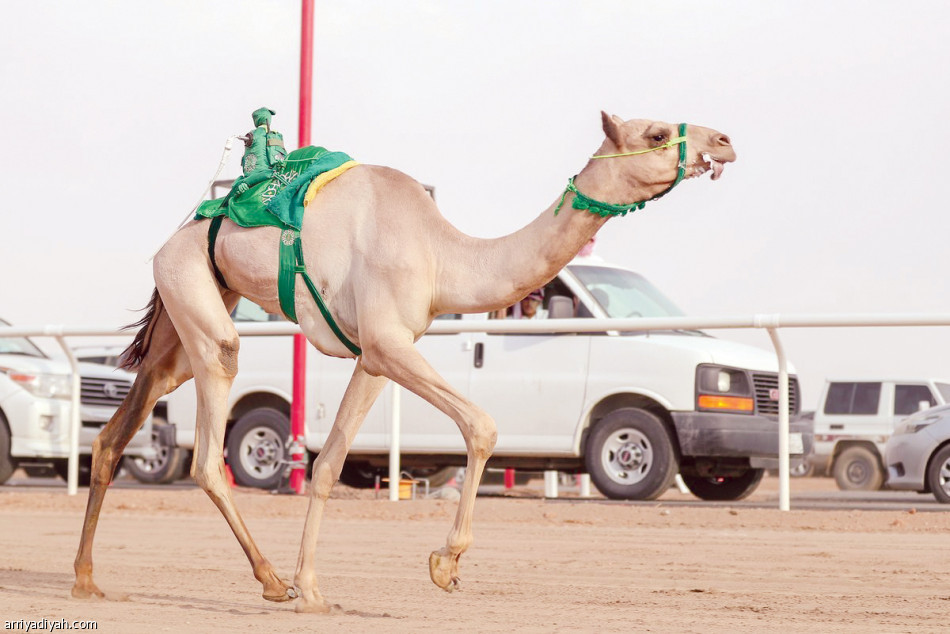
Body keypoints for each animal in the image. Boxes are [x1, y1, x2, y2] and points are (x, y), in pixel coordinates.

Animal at [72, 111, 736, 608]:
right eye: (656, 132)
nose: (724, 141)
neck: (444, 256)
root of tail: (183, 232)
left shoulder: (374, 357)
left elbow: (328, 464)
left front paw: (314, 589)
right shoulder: (391, 344)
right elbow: (481, 424)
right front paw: (444, 564)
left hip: (186, 313)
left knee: (116, 431)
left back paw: (86, 578)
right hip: (198, 300)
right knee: (210, 450)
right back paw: (268, 581)